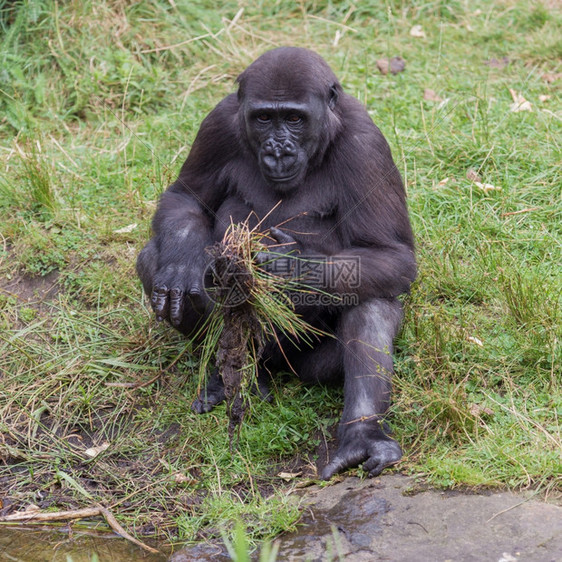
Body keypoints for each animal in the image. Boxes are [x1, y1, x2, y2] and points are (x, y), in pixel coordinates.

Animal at [137, 48, 414, 476]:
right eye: (264, 117)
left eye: (295, 119)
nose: (278, 149)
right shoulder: (219, 122)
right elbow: (186, 198)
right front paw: (183, 265)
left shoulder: (366, 146)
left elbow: (392, 254)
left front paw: (294, 270)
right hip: (256, 353)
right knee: (156, 257)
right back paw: (228, 376)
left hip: (304, 366)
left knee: (371, 297)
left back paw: (362, 433)